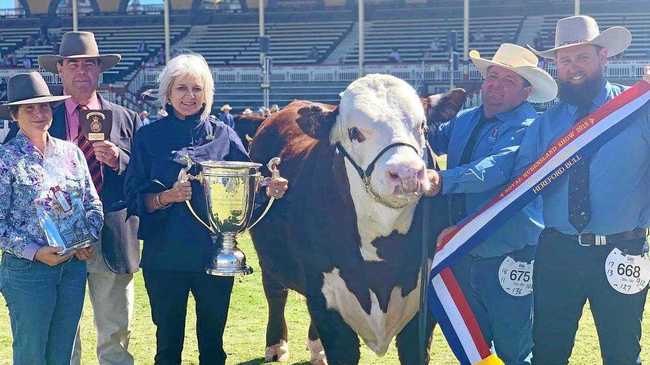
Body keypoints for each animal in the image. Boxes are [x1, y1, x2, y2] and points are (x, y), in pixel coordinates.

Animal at [246, 74, 464, 364]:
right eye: (355, 132)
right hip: (270, 258)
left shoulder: (423, 308)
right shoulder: (328, 306)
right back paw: (276, 346)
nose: (406, 173)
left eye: (423, 127)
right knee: (275, 292)